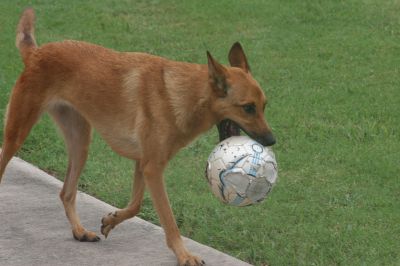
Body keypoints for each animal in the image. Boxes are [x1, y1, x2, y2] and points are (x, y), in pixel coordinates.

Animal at [0, 8, 276, 266]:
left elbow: (135, 205)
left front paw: (111, 220)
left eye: (264, 106)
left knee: (66, 192)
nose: (271, 140)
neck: (187, 94)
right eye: (248, 108)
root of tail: (36, 53)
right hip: (17, 133)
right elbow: (168, 220)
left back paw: (79, 232)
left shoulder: (143, 164)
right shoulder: (152, 169)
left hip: (80, 143)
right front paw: (184, 255)